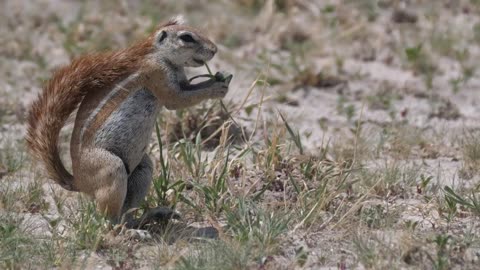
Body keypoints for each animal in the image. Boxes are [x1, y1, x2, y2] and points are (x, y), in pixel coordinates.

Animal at [25, 16, 232, 226]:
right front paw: (216, 88)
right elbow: (177, 100)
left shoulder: (181, 79)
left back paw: (149, 218)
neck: (161, 56)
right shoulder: (158, 73)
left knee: (126, 211)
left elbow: (191, 88)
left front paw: (220, 78)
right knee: (108, 218)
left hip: (142, 167)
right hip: (111, 168)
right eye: (187, 37)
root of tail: (79, 182)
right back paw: (127, 227)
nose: (214, 50)